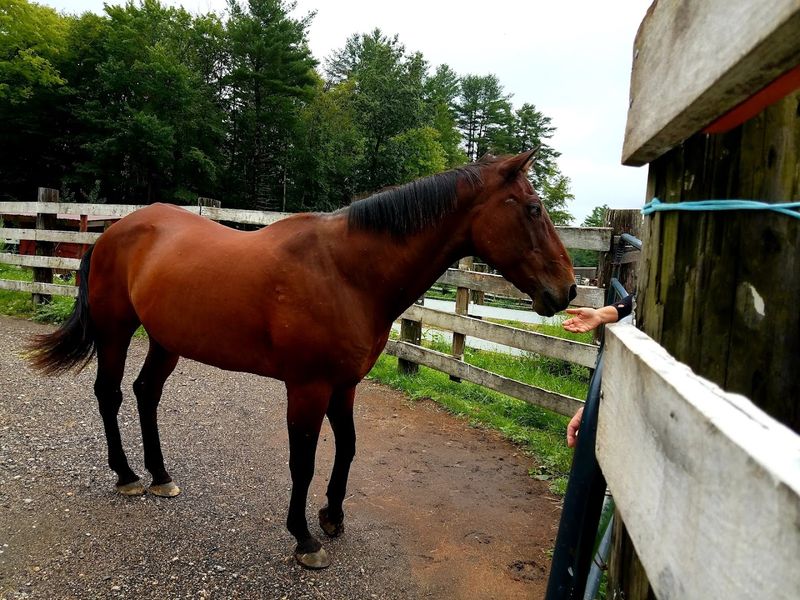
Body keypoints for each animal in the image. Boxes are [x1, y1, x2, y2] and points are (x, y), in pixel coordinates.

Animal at [28, 150, 577, 569]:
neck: (347, 271)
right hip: (116, 333)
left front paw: (332, 516)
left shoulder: (345, 384)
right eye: (533, 208)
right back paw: (126, 475)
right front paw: (304, 536)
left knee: (146, 393)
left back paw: (161, 476)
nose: (568, 290)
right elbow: (304, 460)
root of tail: (113, 230)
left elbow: (348, 448)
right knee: (110, 393)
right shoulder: (308, 387)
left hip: (166, 341)